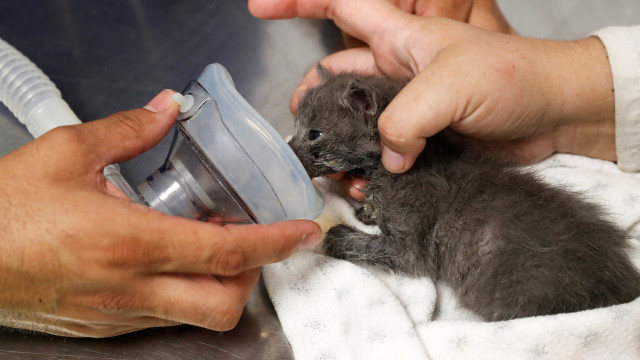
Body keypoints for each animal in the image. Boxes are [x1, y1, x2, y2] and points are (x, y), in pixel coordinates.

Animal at [288, 67, 640, 320]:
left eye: (314, 133)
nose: (288, 150)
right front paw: (367, 209)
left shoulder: (409, 248)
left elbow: (378, 247)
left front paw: (335, 236)